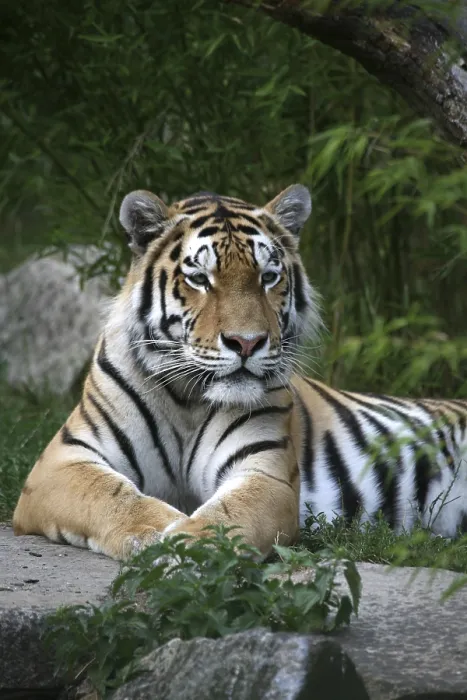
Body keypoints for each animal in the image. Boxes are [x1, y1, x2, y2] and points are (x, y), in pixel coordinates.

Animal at [13, 184, 467, 560]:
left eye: (268, 277)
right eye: (200, 278)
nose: (247, 343)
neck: (187, 398)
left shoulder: (265, 472)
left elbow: (226, 517)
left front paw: (183, 546)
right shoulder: (61, 462)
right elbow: (114, 496)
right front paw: (162, 533)